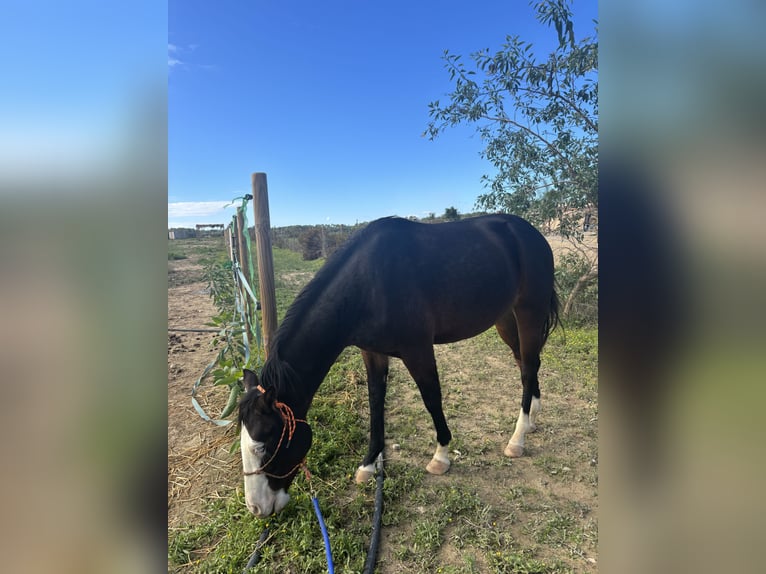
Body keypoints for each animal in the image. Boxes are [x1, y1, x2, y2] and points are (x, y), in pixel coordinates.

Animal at [238, 214, 560, 517]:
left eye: (265, 445)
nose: (256, 508)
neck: (367, 285)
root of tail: (532, 234)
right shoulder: (372, 353)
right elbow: (376, 402)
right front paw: (369, 465)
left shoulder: (417, 350)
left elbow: (431, 398)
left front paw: (440, 456)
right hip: (505, 318)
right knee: (526, 364)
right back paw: (532, 418)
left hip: (529, 312)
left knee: (528, 366)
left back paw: (517, 438)